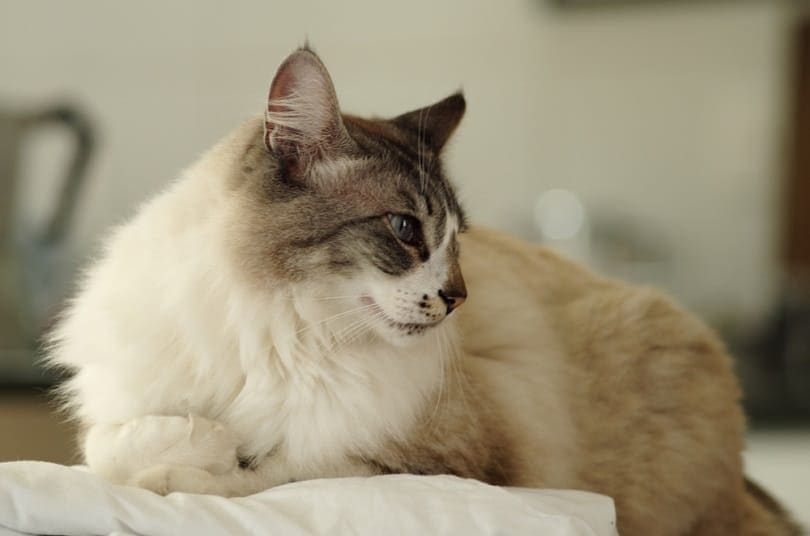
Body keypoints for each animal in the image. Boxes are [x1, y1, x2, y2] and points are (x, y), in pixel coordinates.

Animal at [47, 48, 800, 532]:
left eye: (456, 240)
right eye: (407, 229)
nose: (459, 298)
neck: (282, 325)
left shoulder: (408, 461)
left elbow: (266, 475)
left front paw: (197, 467)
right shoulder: (114, 411)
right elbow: (114, 447)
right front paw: (200, 442)